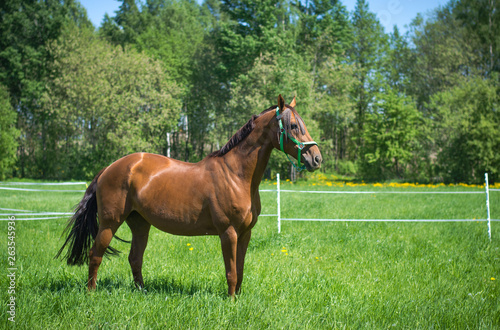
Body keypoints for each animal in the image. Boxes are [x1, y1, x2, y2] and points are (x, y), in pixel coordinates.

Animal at [56, 94, 322, 296]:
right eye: (294, 126)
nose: (316, 158)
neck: (236, 175)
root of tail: (109, 168)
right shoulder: (228, 233)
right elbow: (231, 271)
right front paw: (231, 301)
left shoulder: (245, 233)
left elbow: (241, 269)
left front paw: (237, 298)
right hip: (109, 223)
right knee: (95, 255)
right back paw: (91, 292)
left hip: (140, 224)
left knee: (135, 258)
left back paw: (142, 291)